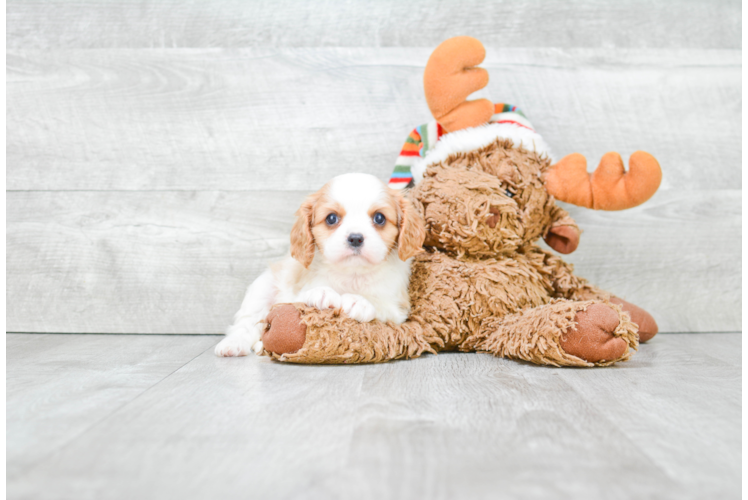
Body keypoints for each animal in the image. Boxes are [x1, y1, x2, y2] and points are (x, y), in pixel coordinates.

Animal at [216, 174, 426, 358]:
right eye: (331, 218)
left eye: (379, 218)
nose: (355, 238)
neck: (352, 273)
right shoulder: (292, 292)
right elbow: (302, 296)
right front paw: (322, 292)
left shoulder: (398, 309)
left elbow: (381, 303)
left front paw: (360, 301)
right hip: (262, 289)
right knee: (246, 324)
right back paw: (233, 344)